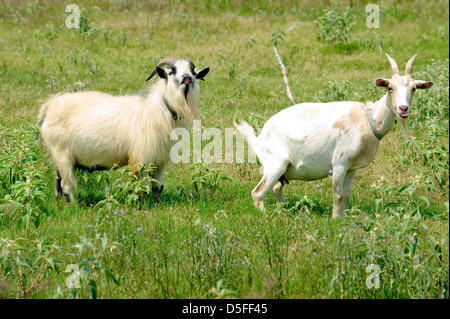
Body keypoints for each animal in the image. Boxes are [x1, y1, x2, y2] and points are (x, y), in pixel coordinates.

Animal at [37, 56, 210, 201]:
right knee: (67, 186)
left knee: (58, 182)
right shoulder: (139, 159)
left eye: (193, 70)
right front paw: (139, 206)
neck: (159, 109)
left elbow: (157, 186)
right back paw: (73, 207)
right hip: (62, 154)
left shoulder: (160, 160)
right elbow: (138, 186)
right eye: (172, 71)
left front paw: (156, 204)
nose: (187, 78)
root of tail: (48, 107)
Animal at [236, 53, 432, 219]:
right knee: (258, 192)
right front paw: (334, 221)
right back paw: (266, 217)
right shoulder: (339, 162)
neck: (368, 119)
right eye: (390, 87)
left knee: (276, 188)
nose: (403, 109)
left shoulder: (352, 168)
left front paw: (342, 219)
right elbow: (337, 194)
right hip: (276, 163)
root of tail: (259, 138)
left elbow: (346, 195)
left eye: (414, 88)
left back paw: (286, 212)